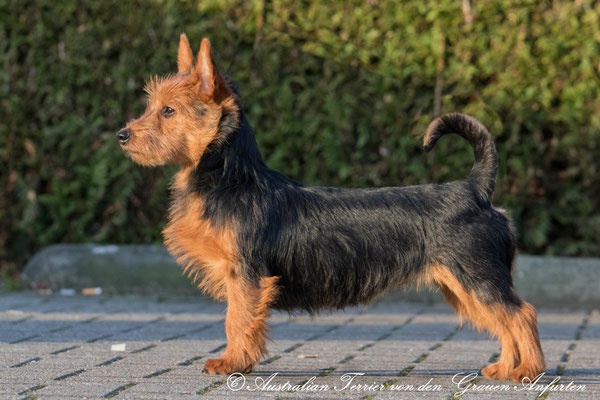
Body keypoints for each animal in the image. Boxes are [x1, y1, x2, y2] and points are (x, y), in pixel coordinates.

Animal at [116, 34, 544, 382]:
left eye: (168, 111)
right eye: (152, 106)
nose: (122, 135)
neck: (230, 176)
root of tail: (475, 189)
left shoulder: (246, 276)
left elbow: (236, 321)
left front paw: (232, 363)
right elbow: (241, 321)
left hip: (476, 277)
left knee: (521, 314)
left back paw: (528, 370)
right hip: (465, 284)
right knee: (505, 320)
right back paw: (506, 367)